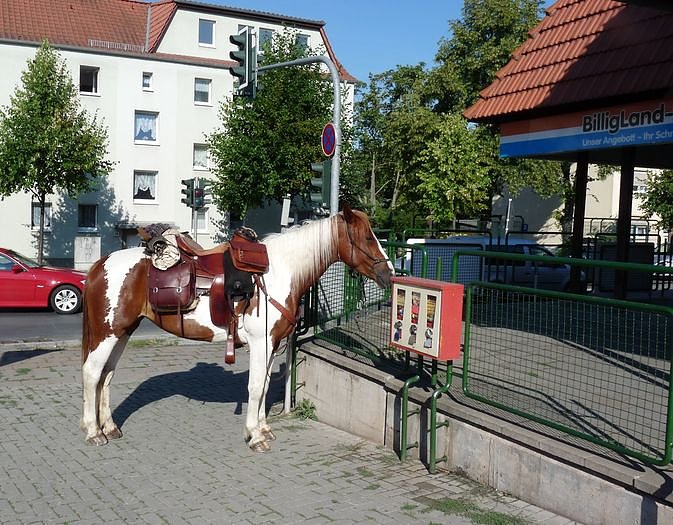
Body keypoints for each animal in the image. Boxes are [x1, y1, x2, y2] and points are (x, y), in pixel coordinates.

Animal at [80, 206, 394, 451]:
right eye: (368, 236)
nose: (389, 274)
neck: (278, 273)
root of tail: (99, 265)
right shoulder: (261, 343)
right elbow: (255, 387)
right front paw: (254, 436)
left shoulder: (273, 345)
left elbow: (265, 386)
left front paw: (264, 429)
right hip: (107, 334)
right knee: (92, 373)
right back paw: (93, 432)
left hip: (123, 332)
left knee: (106, 376)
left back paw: (110, 427)